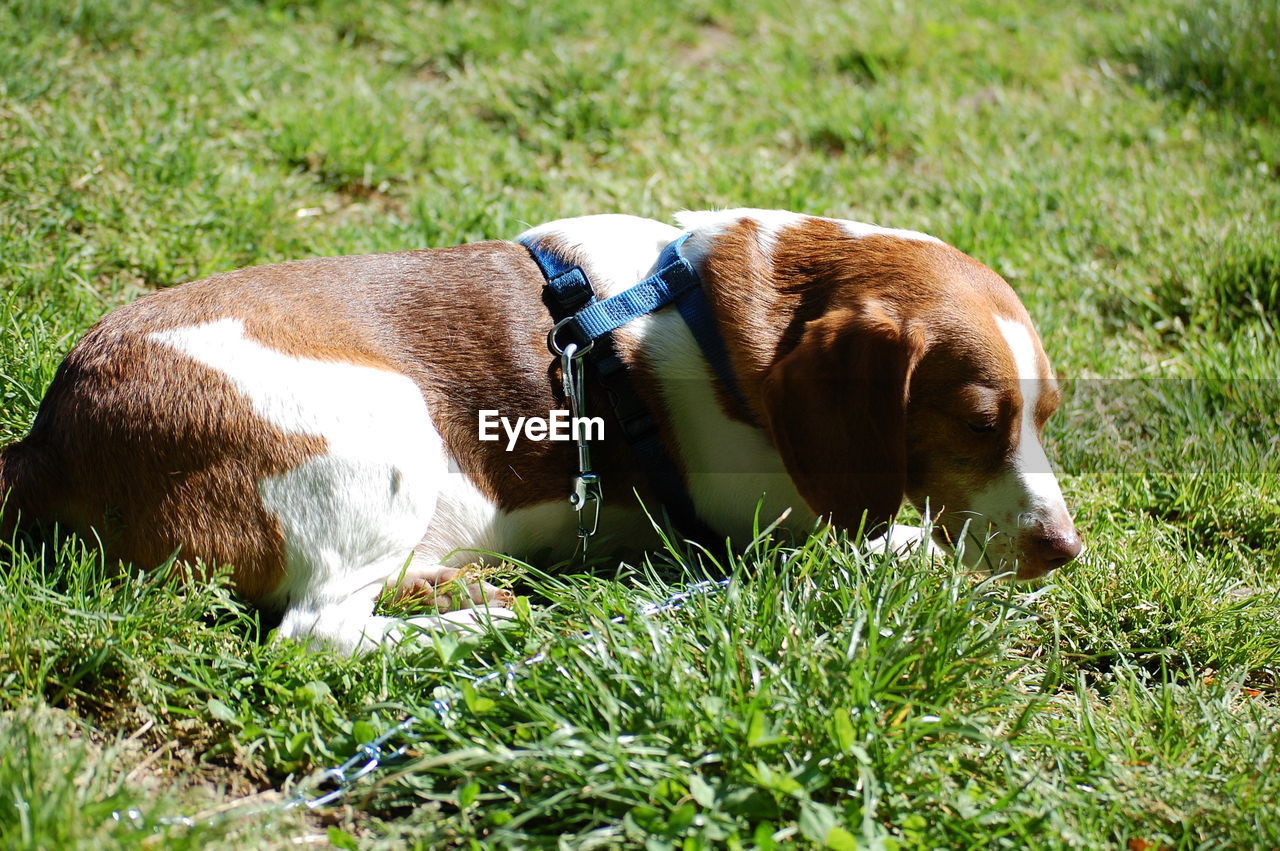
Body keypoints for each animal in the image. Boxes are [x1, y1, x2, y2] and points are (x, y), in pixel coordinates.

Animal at [0, 211, 1080, 650]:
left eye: (1045, 415)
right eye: (977, 421)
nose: (1064, 550)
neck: (715, 315)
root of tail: (50, 433)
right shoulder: (782, 525)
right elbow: (905, 540)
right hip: (390, 423)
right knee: (317, 632)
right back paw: (490, 618)